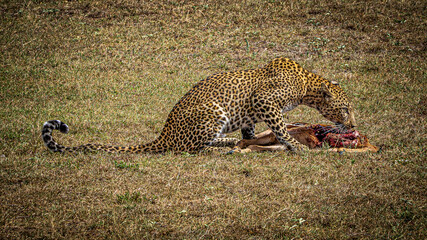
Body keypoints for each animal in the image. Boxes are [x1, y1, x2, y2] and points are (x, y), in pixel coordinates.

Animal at [42, 57, 358, 153]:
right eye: (345, 110)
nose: (354, 125)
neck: (307, 85)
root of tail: (164, 135)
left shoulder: (251, 113)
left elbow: (250, 131)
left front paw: (253, 140)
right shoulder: (265, 101)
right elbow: (281, 128)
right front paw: (295, 146)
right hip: (212, 112)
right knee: (194, 147)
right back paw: (223, 144)